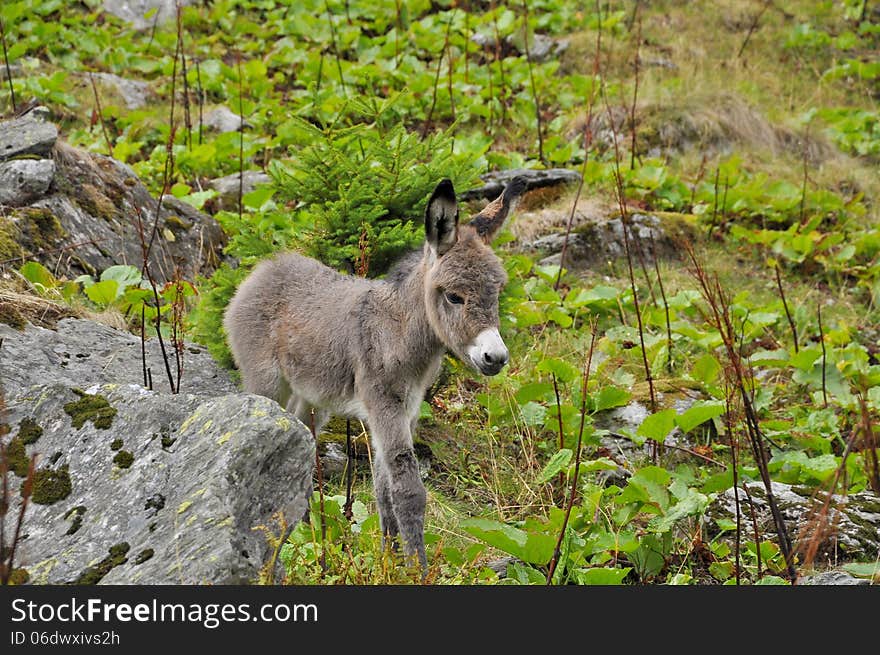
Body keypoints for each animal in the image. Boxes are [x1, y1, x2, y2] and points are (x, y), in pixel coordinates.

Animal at [225, 177, 524, 568]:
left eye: (497, 292)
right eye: (454, 297)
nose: (496, 357)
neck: (399, 332)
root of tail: (267, 267)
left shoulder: (406, 411)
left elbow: (383, 490)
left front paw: (389, 559)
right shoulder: (384, 405)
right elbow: (408, 490)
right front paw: (417, 568)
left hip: (312, 397)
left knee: (302, 440)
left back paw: (306, 539)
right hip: (265, 381)